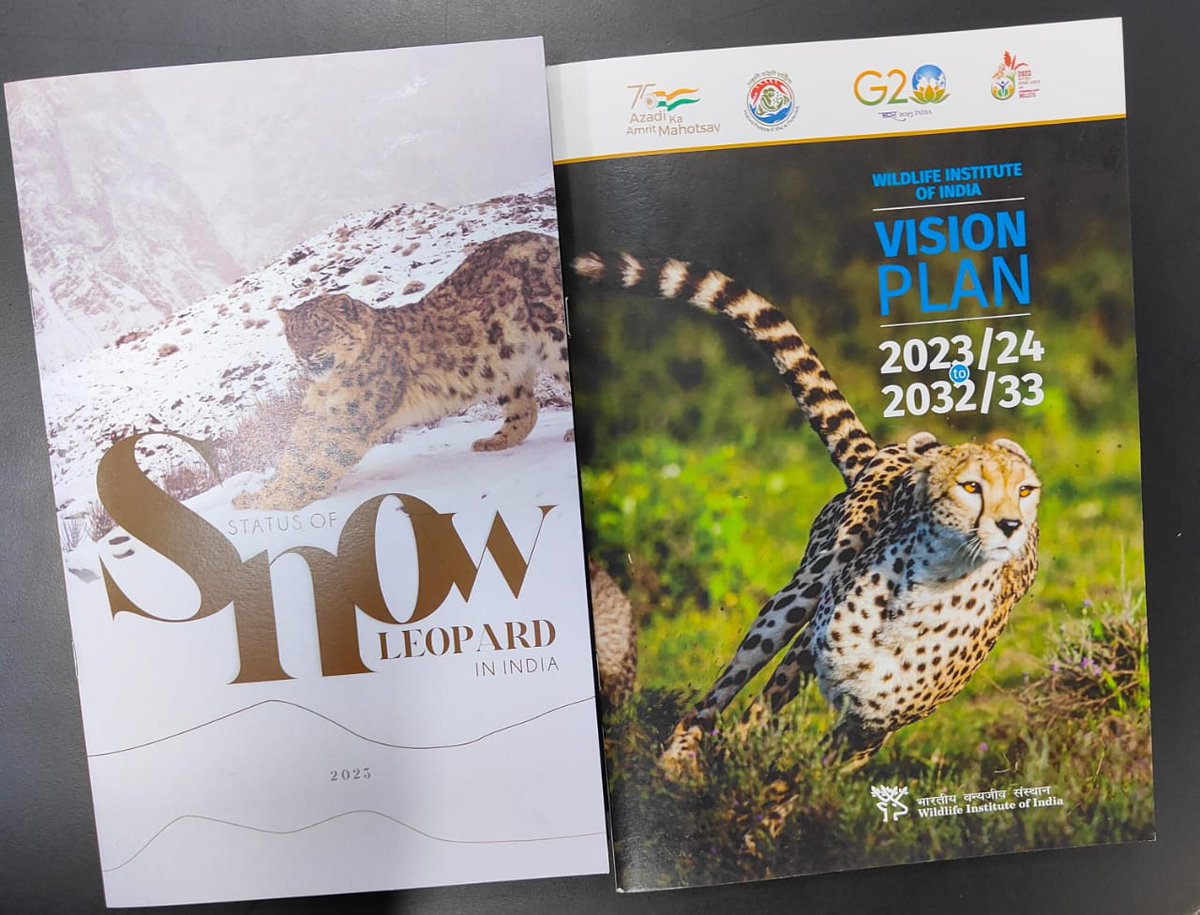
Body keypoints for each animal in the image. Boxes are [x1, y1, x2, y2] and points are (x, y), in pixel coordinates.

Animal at [234, 231, 571, 511]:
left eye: (321, 328)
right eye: (293, 335)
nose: (304, 354)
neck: (328, 384)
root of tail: (544, 238)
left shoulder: (352, 417)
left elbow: (319, 463)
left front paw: (275, 500)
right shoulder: (316, 414)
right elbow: (293, 455)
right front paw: (260, 493)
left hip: (557, 342)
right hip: (507, 369)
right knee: (524, 410)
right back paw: (493, 442)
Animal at [572, 251, 1041, 833]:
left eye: (1025, 491)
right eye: (971, 486)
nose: (1011, 525)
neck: (928, 592)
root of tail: (890, 450)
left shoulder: (870, 728)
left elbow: (796, 780)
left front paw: (763, 826)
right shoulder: (810, 657)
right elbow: (755, 729)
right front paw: (733, 799)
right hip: (798, 598)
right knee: (721, 694)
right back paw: (678, 761)